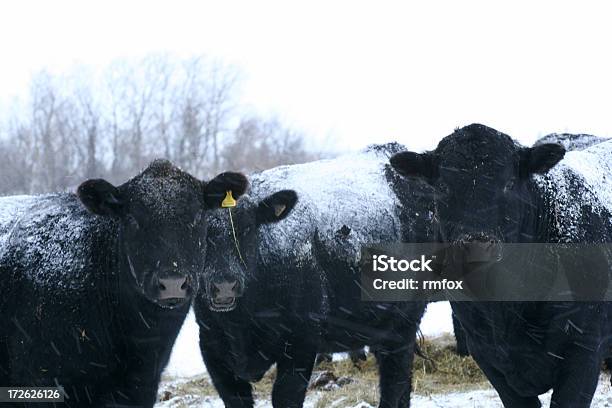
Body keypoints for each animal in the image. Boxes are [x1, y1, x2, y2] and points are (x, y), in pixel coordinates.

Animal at [195, 143, 430, 408]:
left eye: (247, 229)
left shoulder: (301, 340)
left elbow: (286, 396)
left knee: (394, 380)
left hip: (403, 322)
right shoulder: (212, 346)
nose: (224, 286)